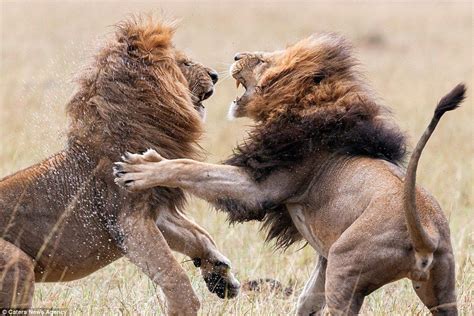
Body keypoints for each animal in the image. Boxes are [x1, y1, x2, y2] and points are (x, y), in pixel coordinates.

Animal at [0, 16, 241, 312]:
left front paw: (220, 275)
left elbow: (200, 236)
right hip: (17, 262)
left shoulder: (157, 211)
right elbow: (173, 273)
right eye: (184, 63)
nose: (215, 75)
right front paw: (186, 306)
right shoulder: (127, 221)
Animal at [115, 33, 466, 314]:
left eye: (262, 61)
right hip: (439, 289)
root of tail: (425, 235)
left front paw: (141, 167)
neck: (306, 106)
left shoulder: (262, 187)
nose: (236, 56)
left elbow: (193, 168)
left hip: (345, 267)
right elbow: (306, 300)